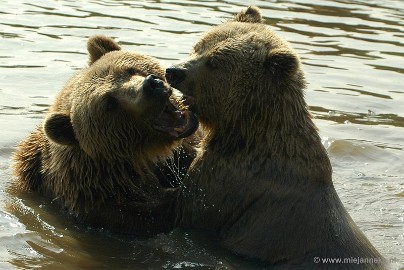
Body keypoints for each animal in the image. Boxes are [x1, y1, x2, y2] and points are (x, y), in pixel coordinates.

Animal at [166, 6, 386, 270]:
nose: (174, 71)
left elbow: (188, 207)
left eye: (214, 62)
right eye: (200, 45)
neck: (245, 133)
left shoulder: (228, 182)